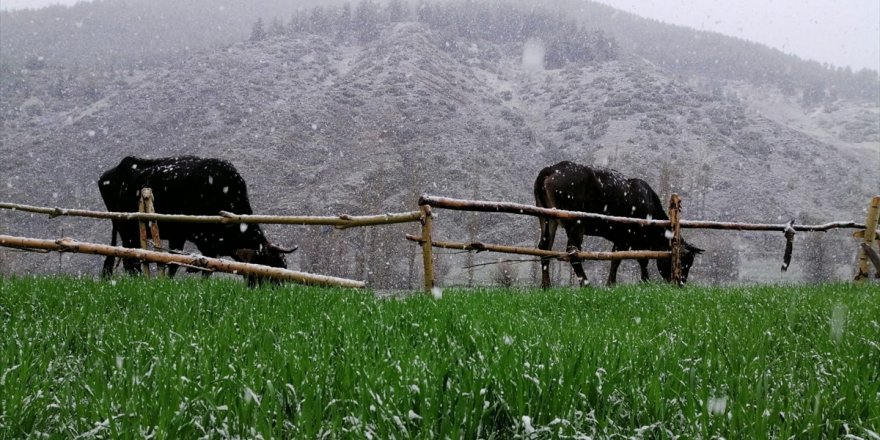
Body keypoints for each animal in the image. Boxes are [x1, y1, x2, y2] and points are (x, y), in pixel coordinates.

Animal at [532, 162, 704, 288]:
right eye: (685, 262)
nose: (681, 283)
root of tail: (551, 169)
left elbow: (641, 259)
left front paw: (644, 281)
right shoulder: (624, 237)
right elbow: (618, 259)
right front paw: (611, 284)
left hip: (546, 218)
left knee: (544, 247)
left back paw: (546, 286)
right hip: (575, 222)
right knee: (572, 251)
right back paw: (586, 284)